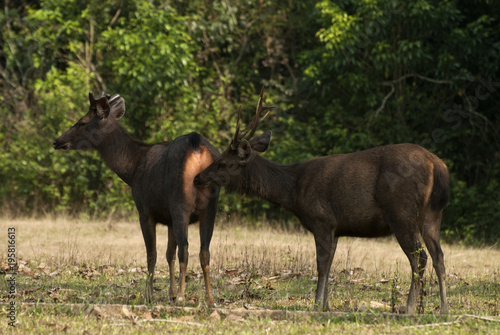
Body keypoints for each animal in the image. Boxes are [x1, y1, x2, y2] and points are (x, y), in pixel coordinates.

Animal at [53, 91, 220, 308]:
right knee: (204, 251)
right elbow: (169, 254)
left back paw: (183, 298)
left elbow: (152, 254)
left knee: (185, 248)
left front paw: (150, 296)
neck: (132, 170)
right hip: (211, 207)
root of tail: (197, 146)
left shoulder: (144, 210)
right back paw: (210, 299)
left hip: (180, 202)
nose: (57, 141)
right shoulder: (168, 218)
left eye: (82, 122)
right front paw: (170, 294)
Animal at [194, 89, 450, 316]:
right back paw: (441, 308)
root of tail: (437, 165)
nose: (197, 178)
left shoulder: (321, 220)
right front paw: (325, 305)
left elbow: (321, 264)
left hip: (401, 211)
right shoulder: (336, 228)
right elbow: (330, 264)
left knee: (420, 257)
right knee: (438, 256)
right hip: (433, 213)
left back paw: (410, 308)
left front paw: (316, 306)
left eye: (222, 163)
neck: (292, 192)